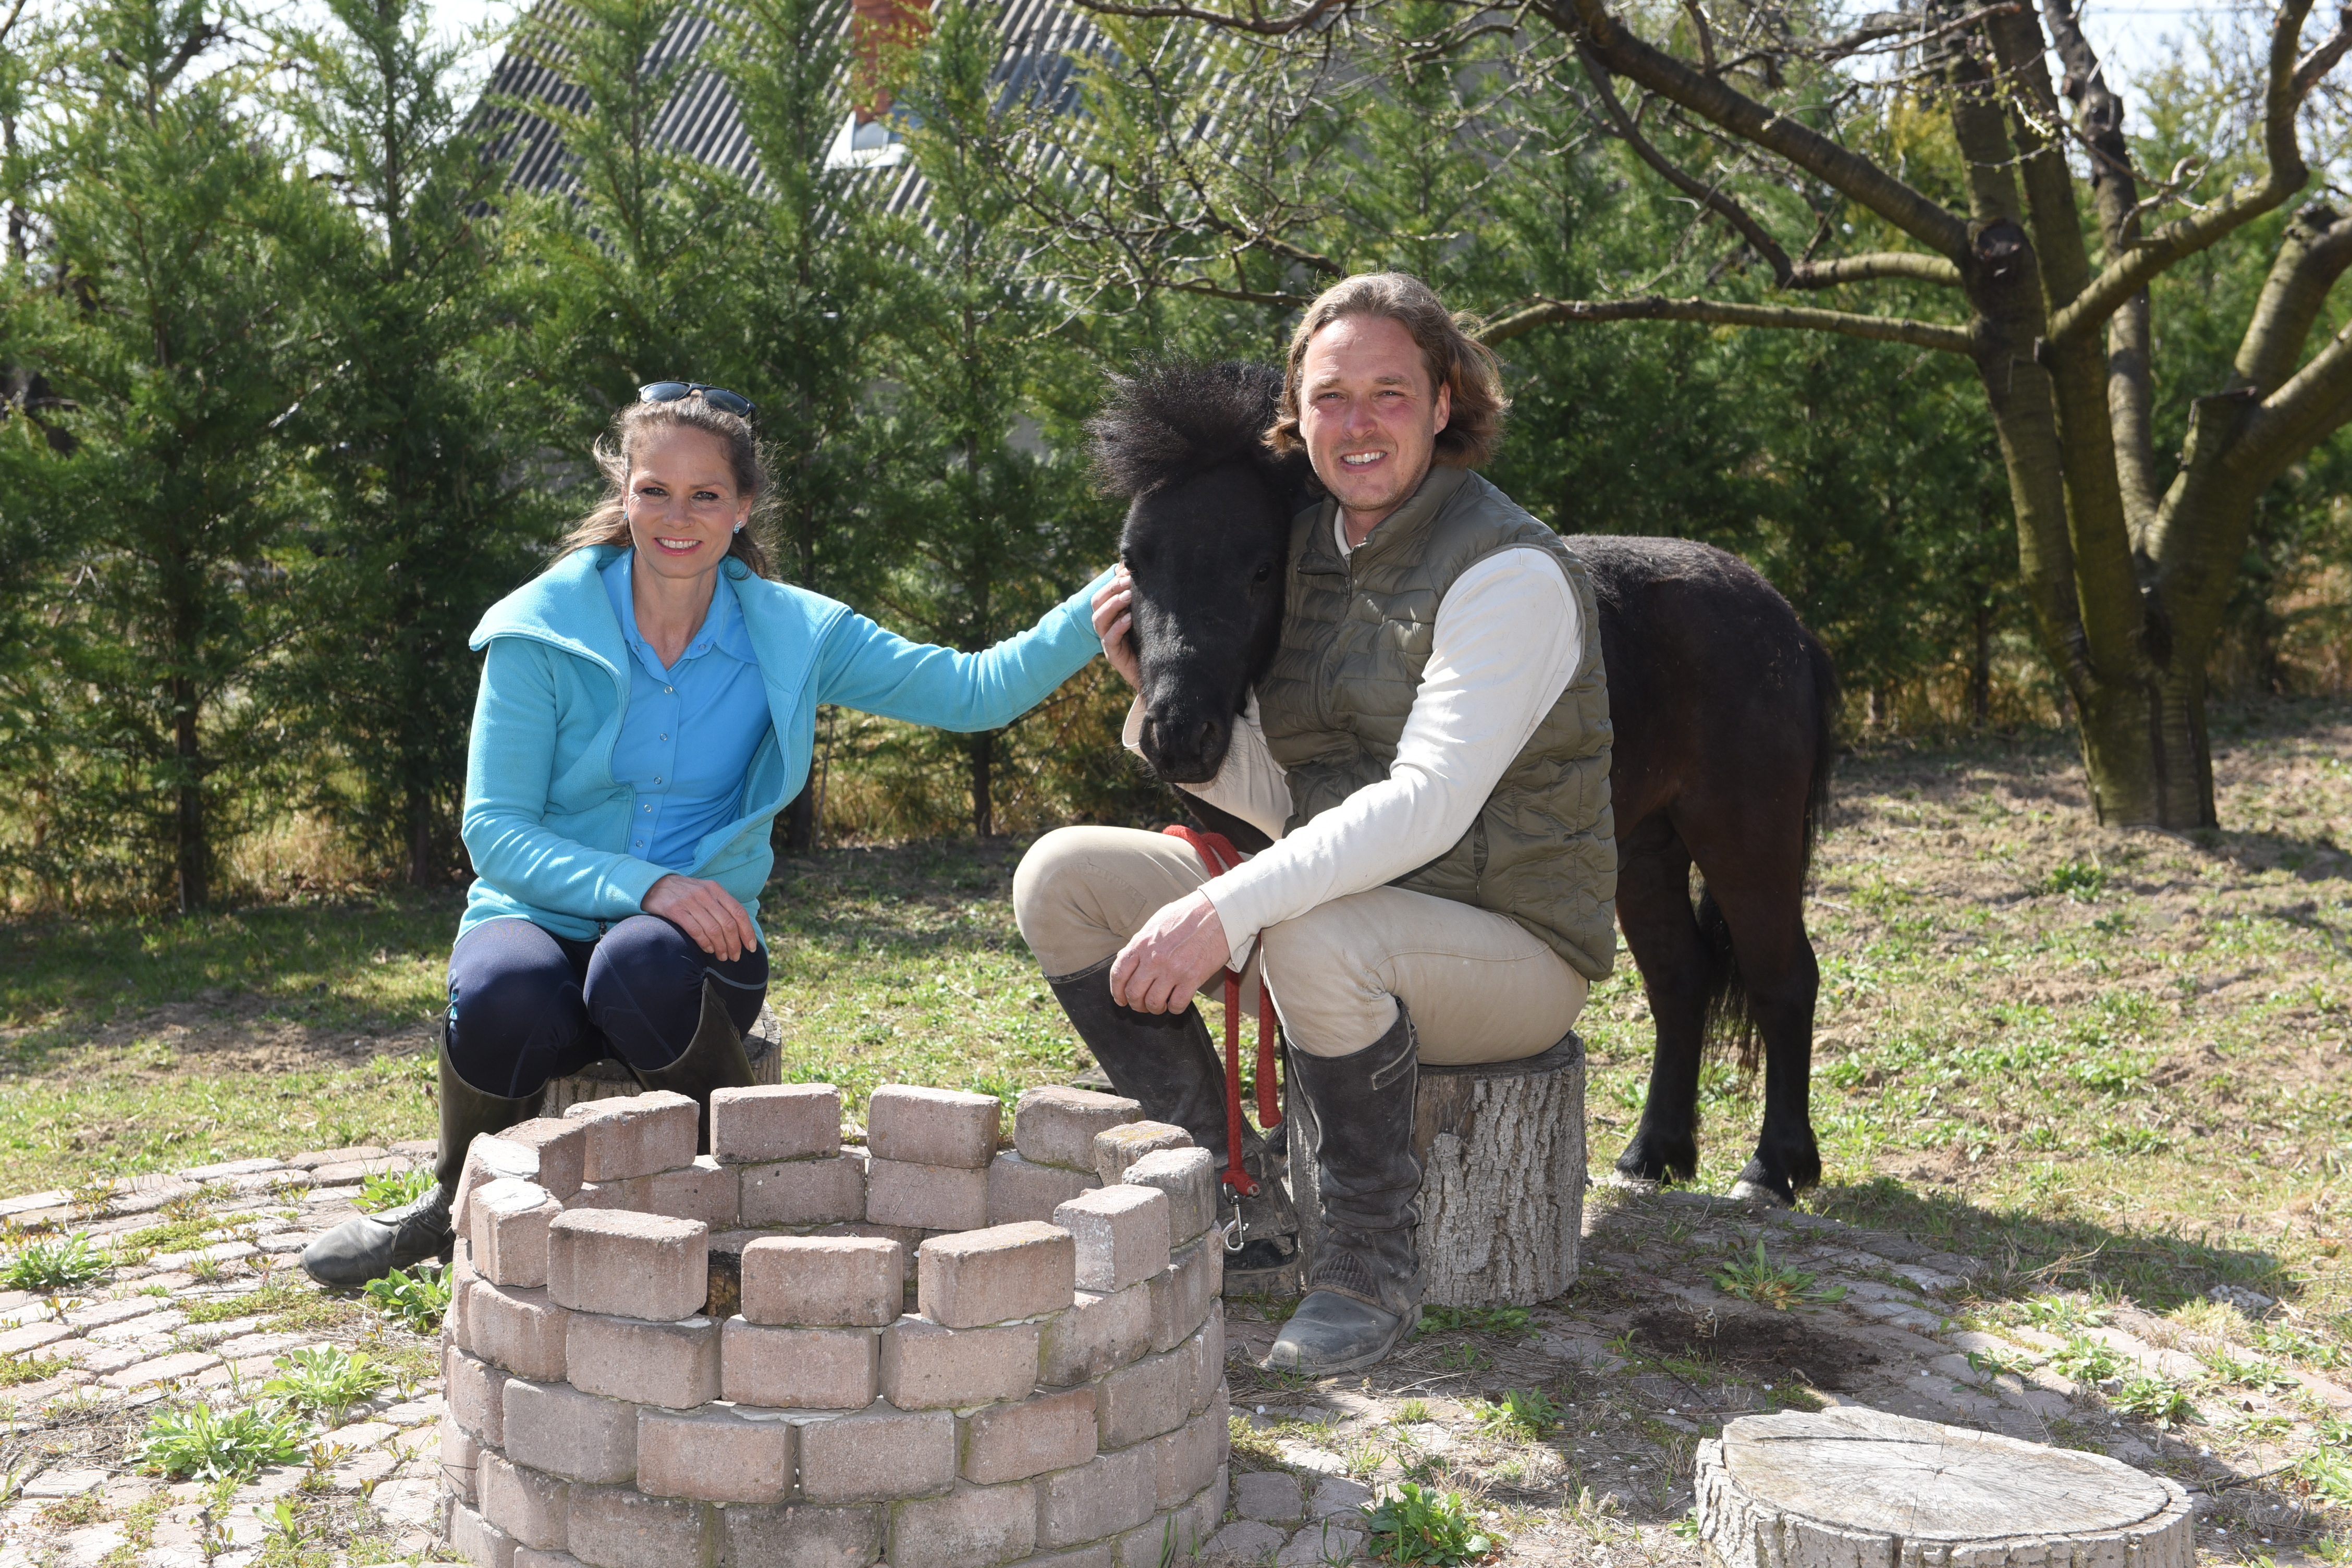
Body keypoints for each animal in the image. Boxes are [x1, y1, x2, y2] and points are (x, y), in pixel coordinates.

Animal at [1091, 362, 1844, 1213]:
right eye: (1135, 562)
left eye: (1258, 568)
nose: (1178, 735)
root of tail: (1781, 615)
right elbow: (1278, 1015)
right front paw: (1286, 1152)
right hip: (1646, 851)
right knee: (1680, 979)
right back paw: (1653, 1152)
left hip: (1744, 838)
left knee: (1784, 978)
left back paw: (1774, 1166)